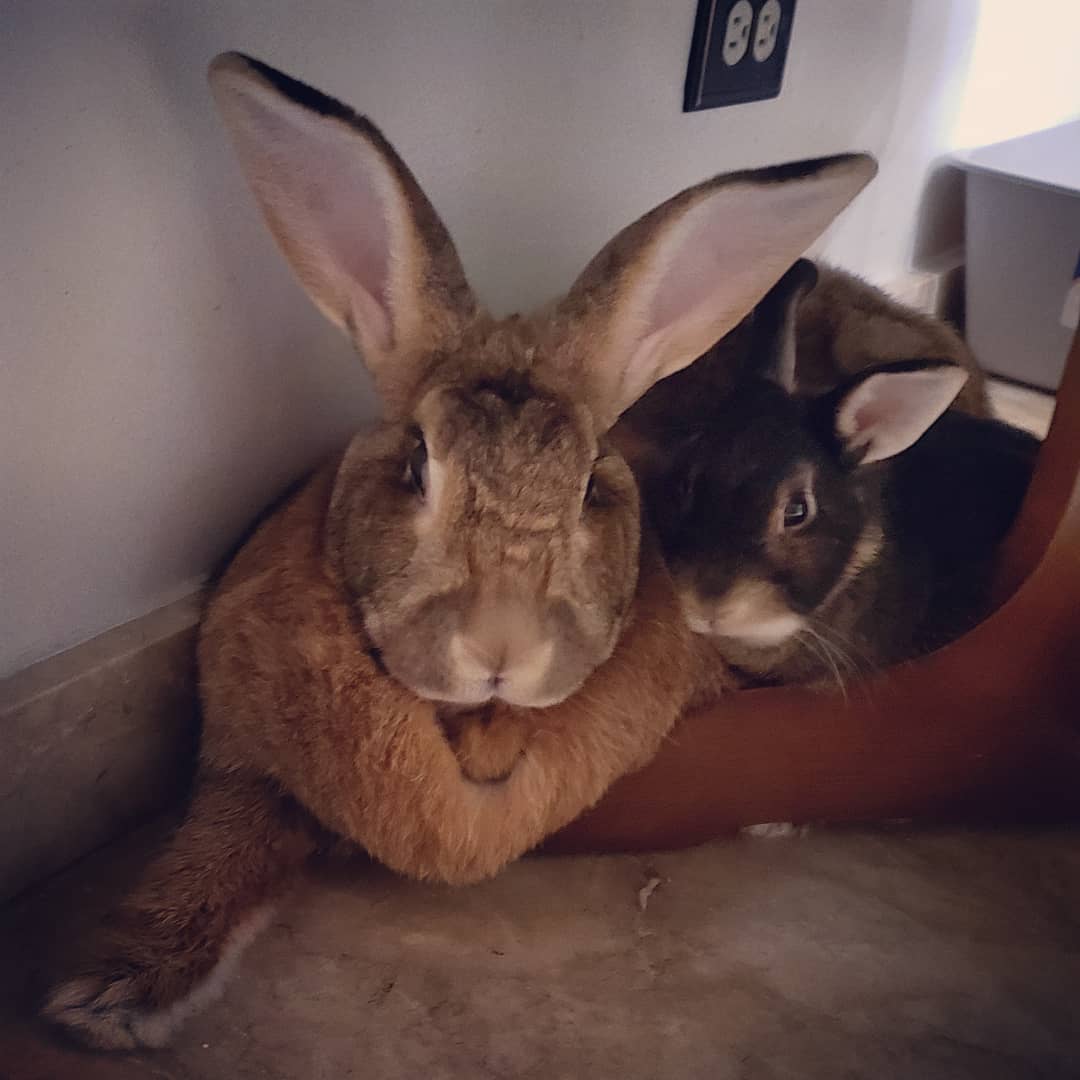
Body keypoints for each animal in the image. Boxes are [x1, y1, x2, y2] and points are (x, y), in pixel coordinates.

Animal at [42, 52, 876, 1050]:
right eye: (415, 464)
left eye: (593, 484)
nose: (501, 645)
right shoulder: (245, 763)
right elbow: (217, 849)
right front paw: (104, 1001)